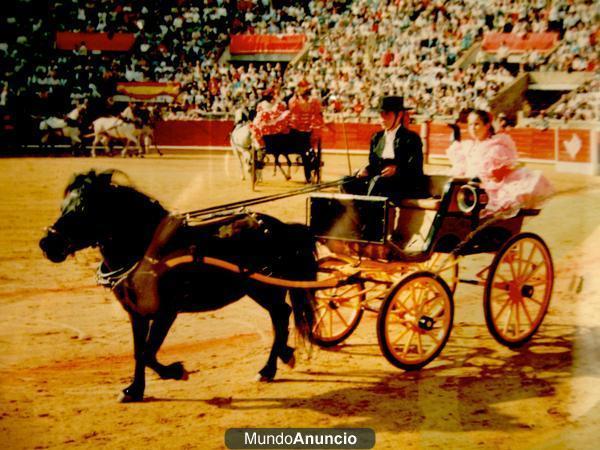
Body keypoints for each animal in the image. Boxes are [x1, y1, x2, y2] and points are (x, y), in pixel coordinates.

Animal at [39, 171, 316, 402]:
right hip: (263, 290)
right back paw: (282, 358)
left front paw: (175, 371)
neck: (147, 251)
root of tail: (281, 227)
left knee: (281, 316)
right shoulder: (136, 313)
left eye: (84, 210)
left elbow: (149, 352)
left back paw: (269, 368)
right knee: (281, 317)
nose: (47, 244)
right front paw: (134, 390)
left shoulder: (166, 312)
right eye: (63, 207)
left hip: (264, 288)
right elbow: (139, 351)